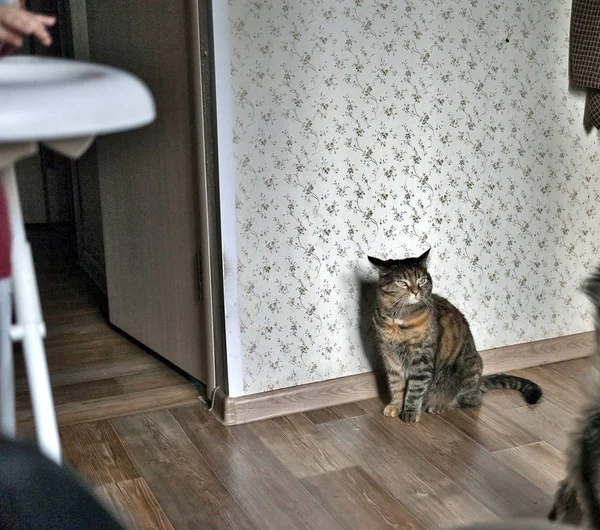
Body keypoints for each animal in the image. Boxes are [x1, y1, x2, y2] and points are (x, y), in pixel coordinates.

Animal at [368, 248, 540, 420]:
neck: (399, 318)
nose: (416, 292)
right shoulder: (390, 358)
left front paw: (410, 412)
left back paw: (437, 406)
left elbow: (415, 390)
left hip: (464, 374)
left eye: (422, 280)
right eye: (402, 283)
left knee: (470, 401)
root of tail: (479, 383)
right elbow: (396, 385)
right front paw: (395, 406)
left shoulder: (422, 359)